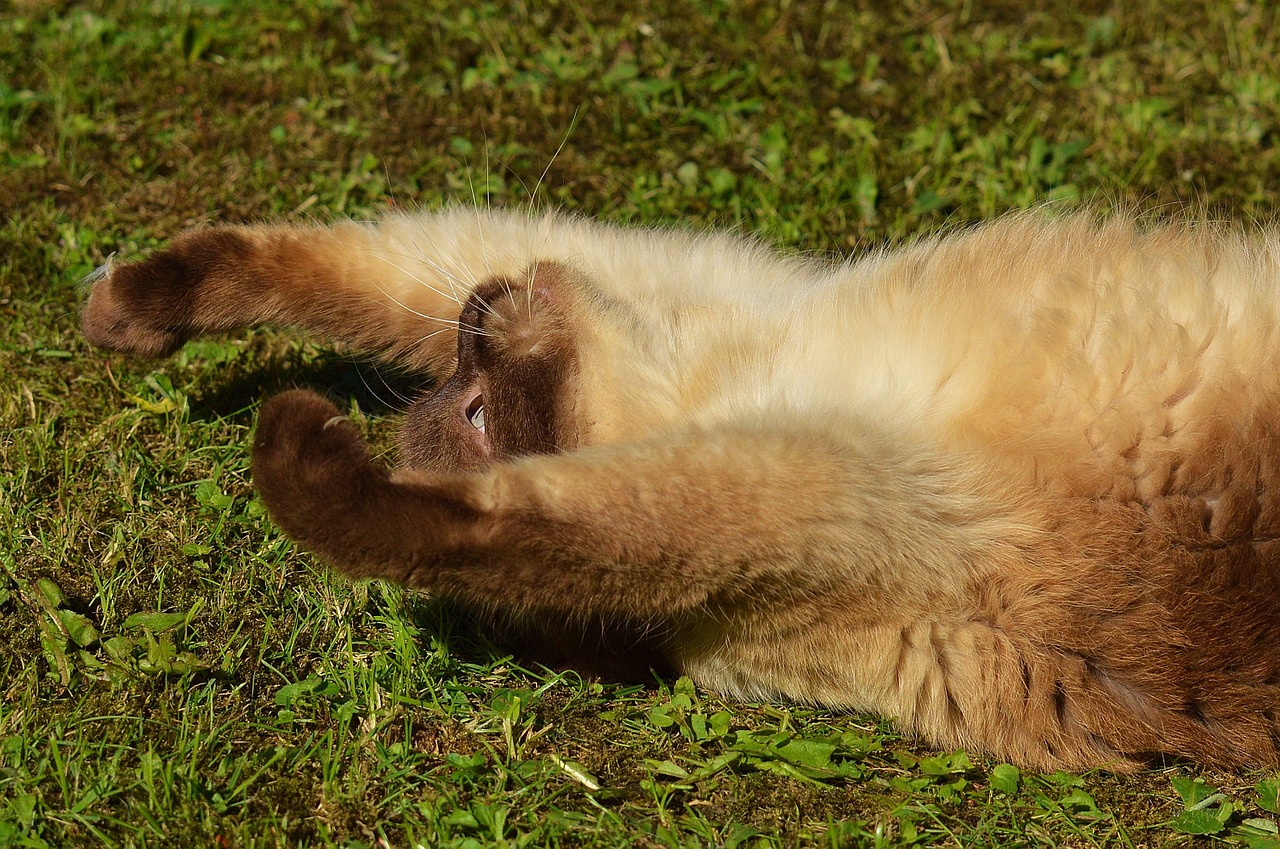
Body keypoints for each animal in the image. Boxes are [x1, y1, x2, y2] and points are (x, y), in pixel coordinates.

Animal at [77, 206, 1280, 768]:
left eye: (474, 401)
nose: (473, 318)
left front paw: (148, 315)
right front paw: (146, 316)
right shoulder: (791, 472)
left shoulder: (728, 320)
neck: (718, 375)